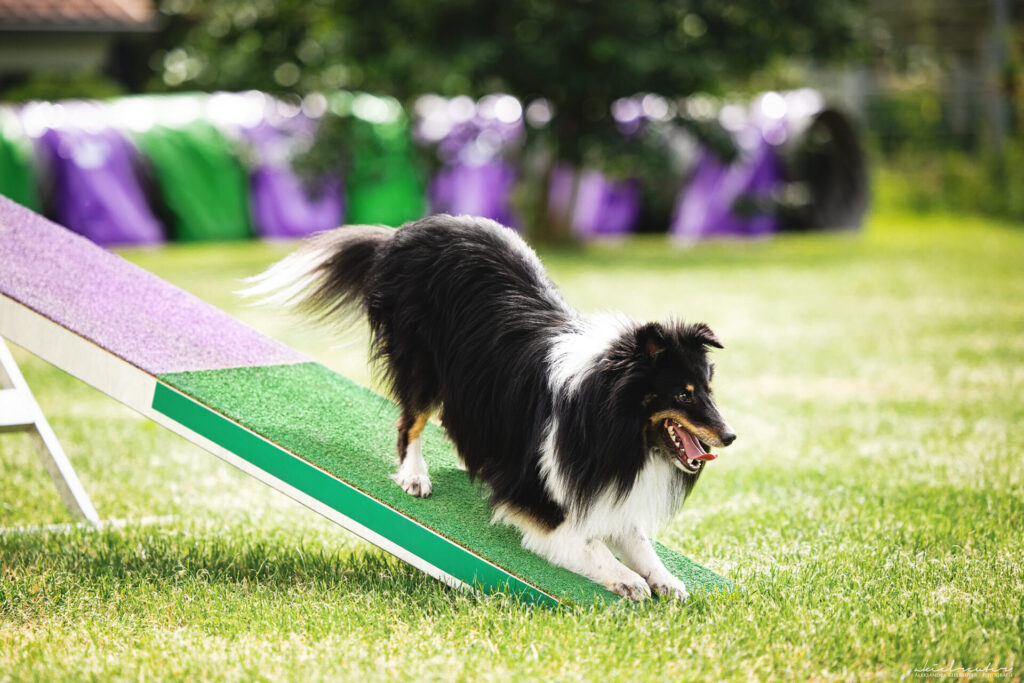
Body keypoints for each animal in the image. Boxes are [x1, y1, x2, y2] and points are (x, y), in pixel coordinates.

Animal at [242, 215, 733, 602]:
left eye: (709, 387)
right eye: (683, 393)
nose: (729, 437)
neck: (610, 417)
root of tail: (404, 232)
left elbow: (640, 540)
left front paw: (667, 579)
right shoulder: (541, 501)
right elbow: (590, 544)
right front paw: (628, 579)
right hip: (424, 366)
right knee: (409, 423)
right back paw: (415, 477)